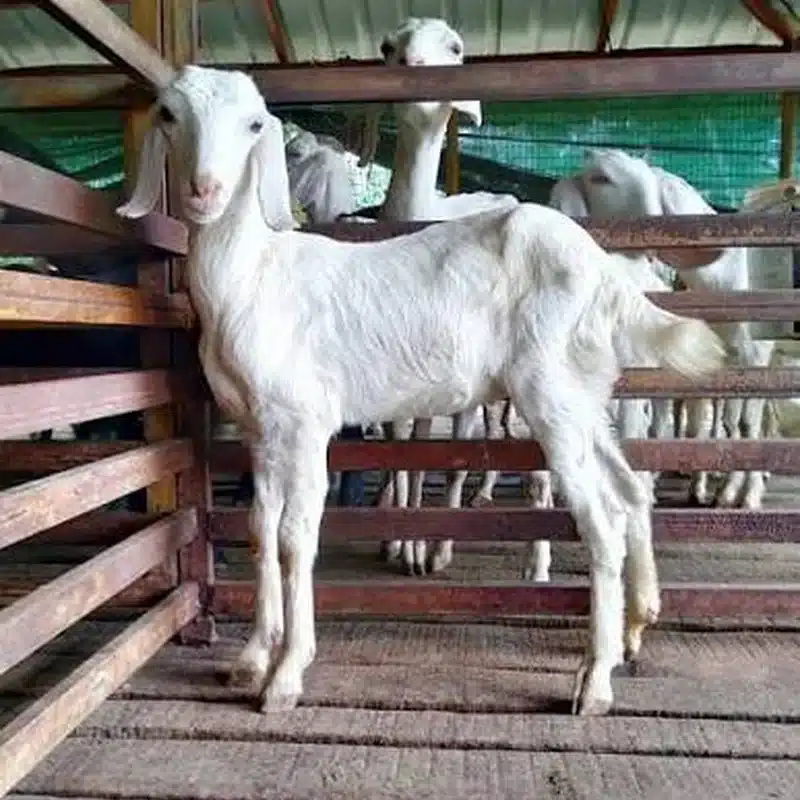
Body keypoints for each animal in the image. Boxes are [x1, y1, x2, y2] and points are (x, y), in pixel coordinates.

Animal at [117, 65, 725, 716]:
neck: (253, 277)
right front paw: (253, 656)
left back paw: (594, 683)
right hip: (583, 395)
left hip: (551, 393)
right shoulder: (262, 431)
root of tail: (608, 276)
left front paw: (286, 675)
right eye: (168, 116)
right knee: (631, 493)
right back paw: (636, 627)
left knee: (603, 520)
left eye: (255, 125)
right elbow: (260, 529)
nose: (204, 191)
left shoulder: (304, 422)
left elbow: (293, 537)